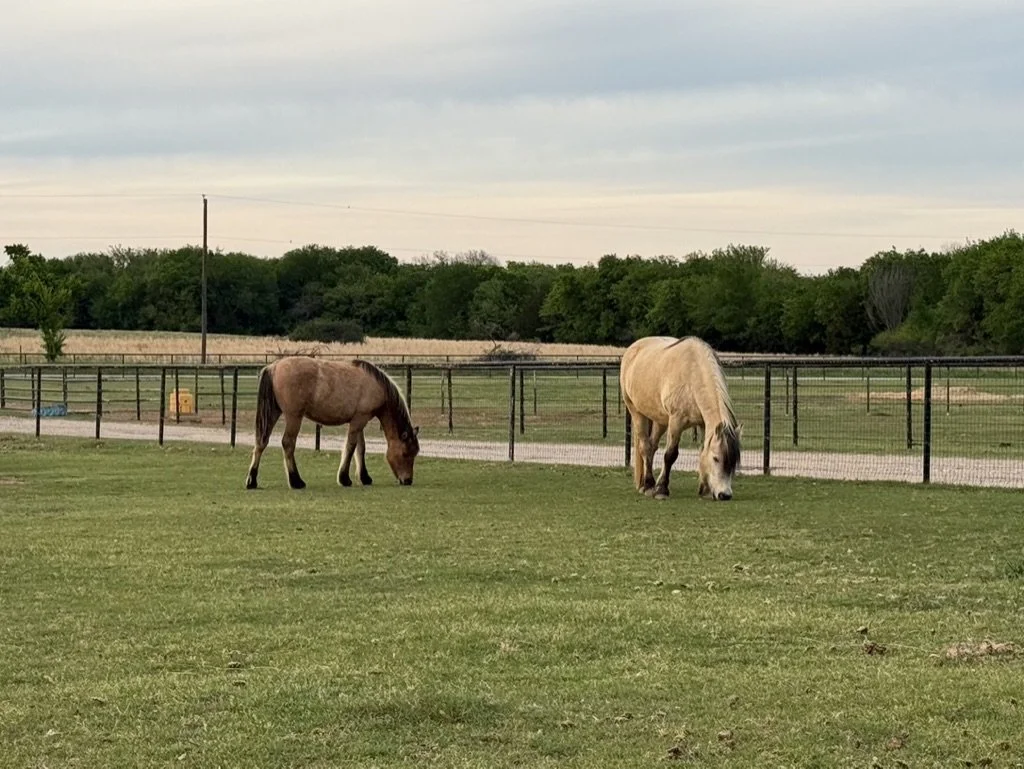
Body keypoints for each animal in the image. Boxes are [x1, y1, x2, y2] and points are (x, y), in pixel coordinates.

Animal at [244, 356, 420, 490]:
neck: (376, 385)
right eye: (406, 453)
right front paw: (344, 478)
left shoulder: (358, 421)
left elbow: (360, 449)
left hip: (273, 413)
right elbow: (351, 447)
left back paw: (252, 481)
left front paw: (364, 477)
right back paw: (296, 481)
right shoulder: (359, 420)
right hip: (294, 417)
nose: (407, 480)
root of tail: (273, 367)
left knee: (261, 443)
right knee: (288, 443)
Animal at [619, 336, 741, 501]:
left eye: (734, 461)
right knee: (645, 447)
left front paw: (705, 489)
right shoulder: (676, 422)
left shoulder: (703, 424)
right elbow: (670, 455)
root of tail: (633, 348)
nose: (725, 495)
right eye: (716, 458)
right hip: (636, 412)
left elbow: (702, 451)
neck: (692, 375)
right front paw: (661, 490)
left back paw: (647, 484)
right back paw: (649, 485)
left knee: (652, 446)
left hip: (660, 420)